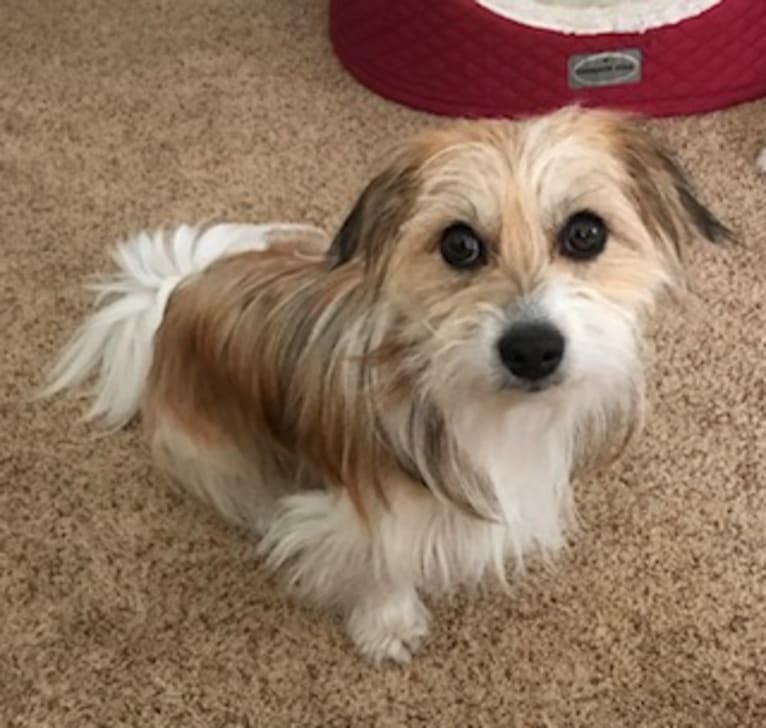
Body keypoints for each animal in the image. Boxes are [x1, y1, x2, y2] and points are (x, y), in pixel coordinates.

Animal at [45, 105, 728, 664]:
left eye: (586, 233)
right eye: (459, 244)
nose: (532, 348)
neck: (481, 410)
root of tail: (177, 291)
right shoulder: (358, 511)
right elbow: (378, 562)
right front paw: (387, 625)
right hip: (214, 454)